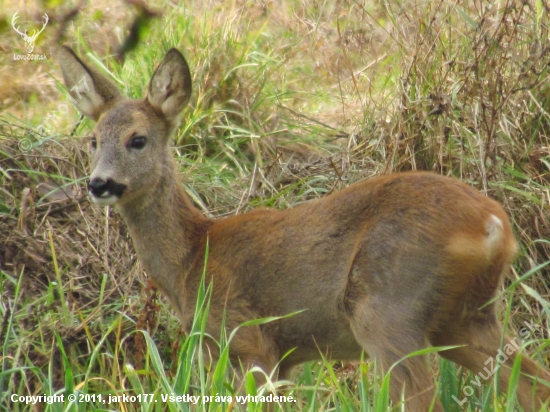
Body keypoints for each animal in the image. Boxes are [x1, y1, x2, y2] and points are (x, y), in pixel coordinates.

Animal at [60, 46, 550, 410]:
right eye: (93, 140)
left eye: (138, 140)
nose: (99, 183)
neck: (193, 256)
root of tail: (493, 225)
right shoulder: (285, 357)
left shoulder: (250, 337)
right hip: (465, 319)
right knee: (533, 385)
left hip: (389, 309)